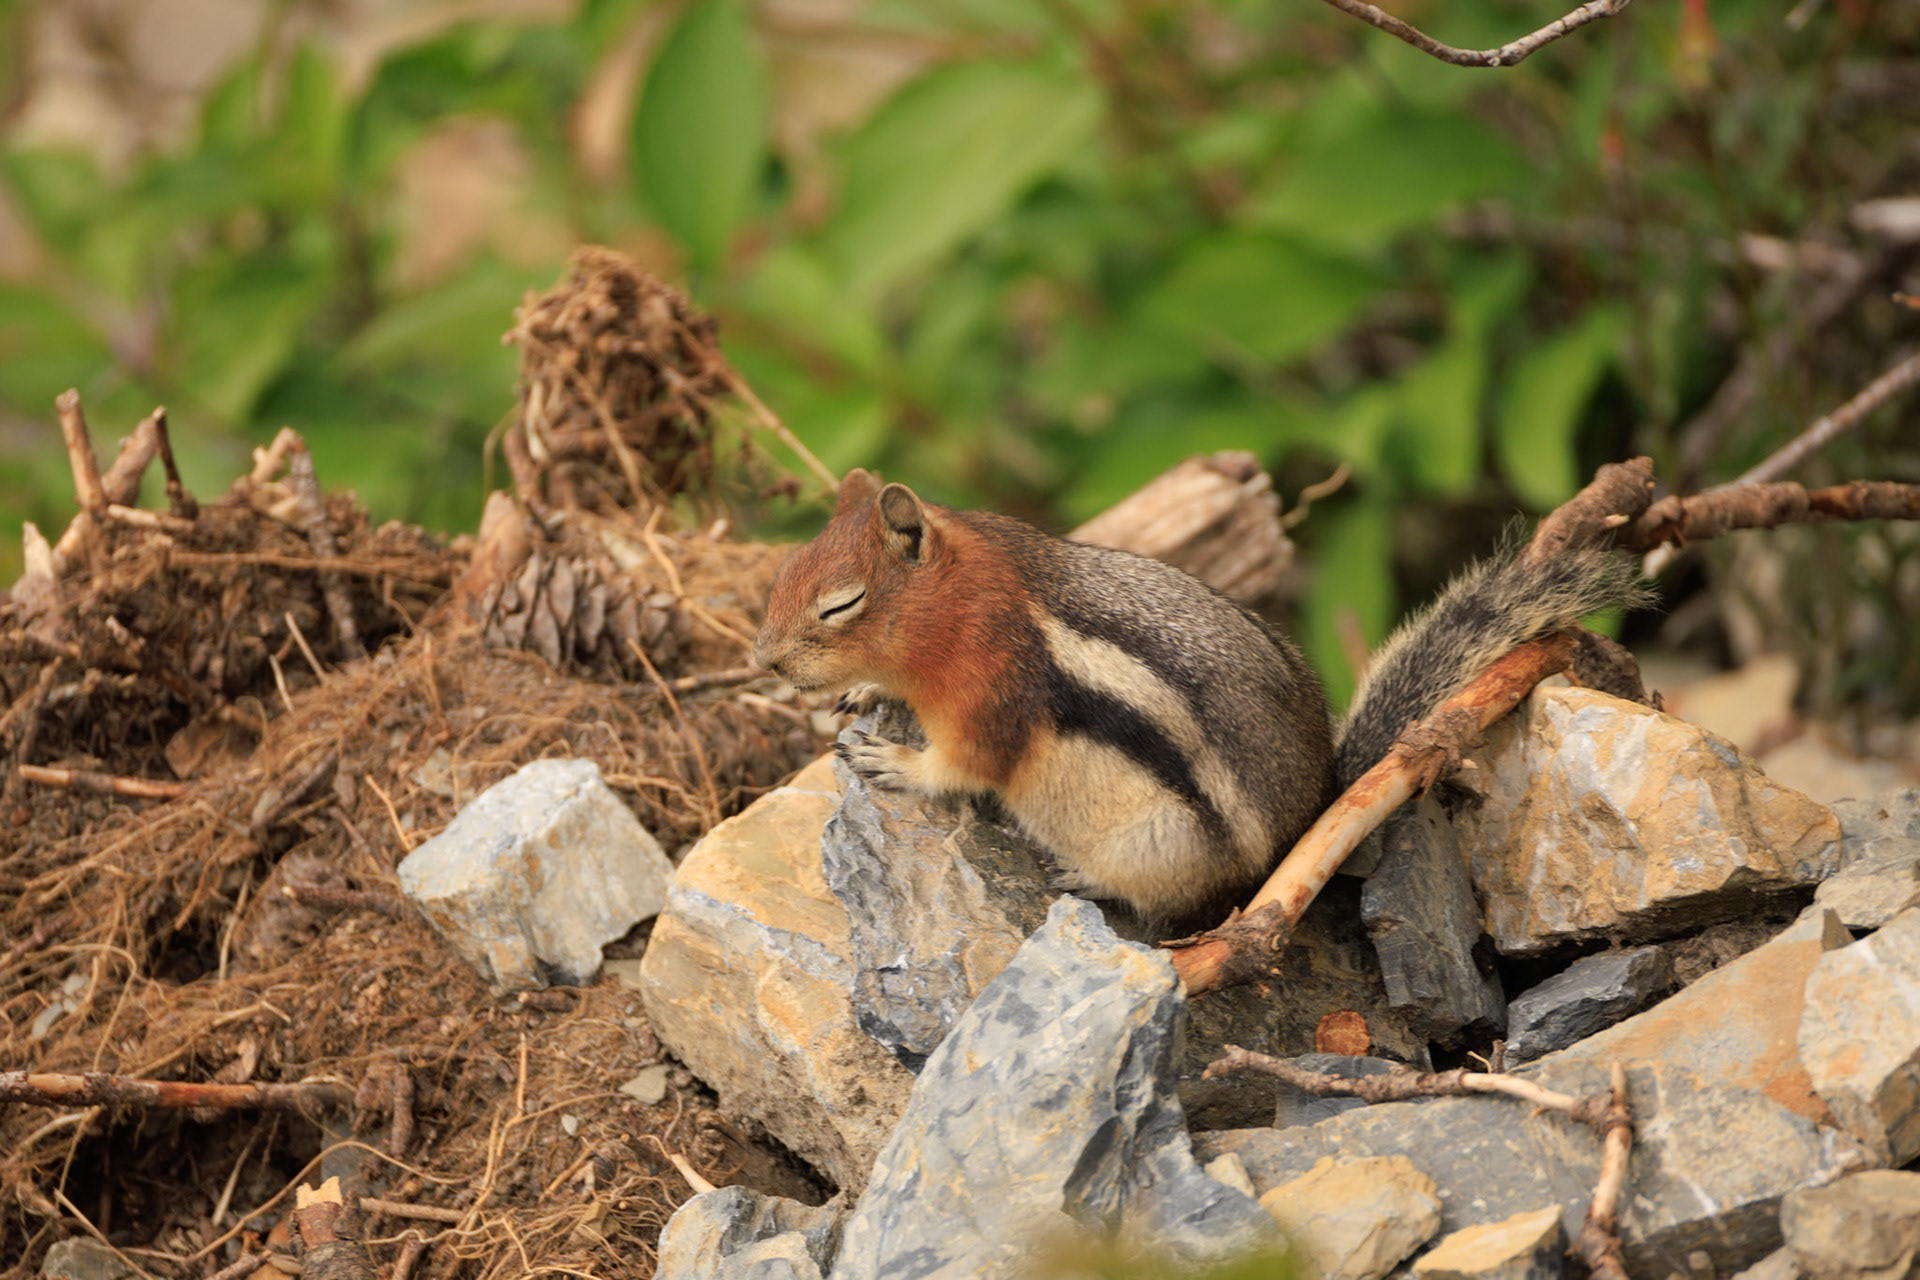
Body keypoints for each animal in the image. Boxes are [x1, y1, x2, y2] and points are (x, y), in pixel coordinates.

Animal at [752, 468, 1641, 925]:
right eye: (785, 564)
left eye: (839, 604)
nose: (763, 659)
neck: (969, 605)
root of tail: (1311, 816)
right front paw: (864, 691)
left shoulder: (990, 698)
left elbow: (964, 768)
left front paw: (894, 760)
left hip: (1166, 846)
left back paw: (1091, 880)